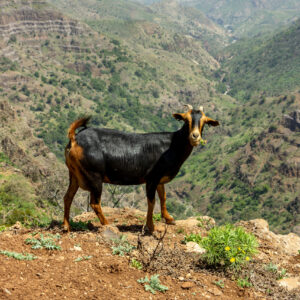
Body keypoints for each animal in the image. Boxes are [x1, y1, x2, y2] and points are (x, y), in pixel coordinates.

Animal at [62, 104, 219, 233]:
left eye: (205, 122)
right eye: (186, 120)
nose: (195, 136)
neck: (172, 145)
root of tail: (74, 138)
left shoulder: (159, 179)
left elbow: (163, 197)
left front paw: (169, 219)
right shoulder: (152, 178)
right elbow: (152, 202)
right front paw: (151, 227)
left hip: (73, 174)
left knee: (68, 197)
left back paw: (66, 226)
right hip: (94, 175)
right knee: (95, 203)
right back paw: (107, 224)